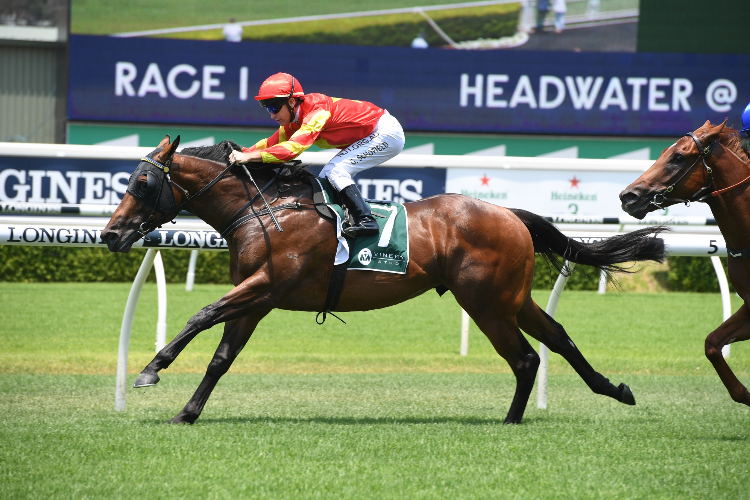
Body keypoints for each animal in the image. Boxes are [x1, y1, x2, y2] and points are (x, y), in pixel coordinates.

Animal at [103, 137, 668, 426]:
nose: (110, 234)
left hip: (486, 302)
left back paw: (511, 421)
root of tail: (508, 212)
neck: (265, 210)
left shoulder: (267, 285)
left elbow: (200, 314)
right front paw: (187, 413)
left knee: (527, 357)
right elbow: (222, 357)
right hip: (511, 297)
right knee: (559, 338)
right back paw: (614, 389)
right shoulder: (256, 299)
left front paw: (150, 370)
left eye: (142, 183)